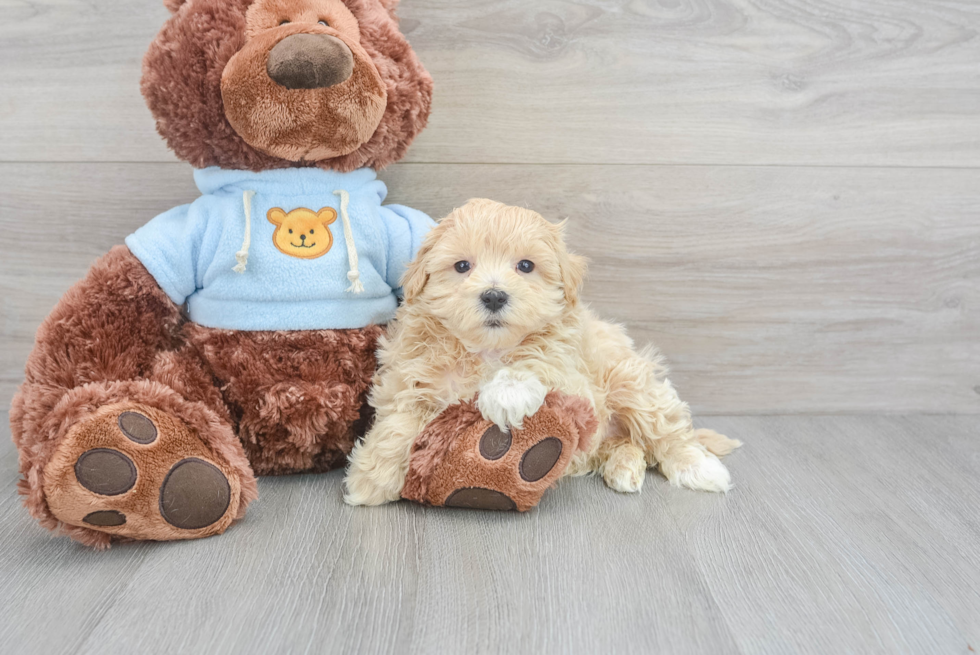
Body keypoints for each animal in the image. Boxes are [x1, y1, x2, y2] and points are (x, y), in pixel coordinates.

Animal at [348, 197, 740, 504]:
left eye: (525, 265)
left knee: (665, 428)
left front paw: (506, 395)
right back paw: (624, 467)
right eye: (462, 266)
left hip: (627, 377)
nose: (494, 295)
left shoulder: (574, 379)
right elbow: (399, 421)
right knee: (629, 443)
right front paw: (372, 479)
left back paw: (699, 467)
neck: (486, 351)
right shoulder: (408, 375)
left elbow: (538, 362)